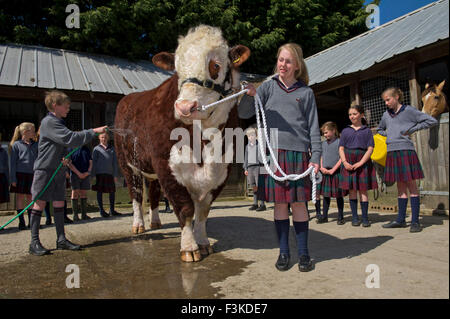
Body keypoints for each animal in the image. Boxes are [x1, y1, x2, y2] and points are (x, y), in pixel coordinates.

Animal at [113, 26, 250, 262]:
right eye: (176, 70)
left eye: (215, 65)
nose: (185, 107)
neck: (204, 140)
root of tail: (127, 99)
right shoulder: (167, 165)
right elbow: (185, 208)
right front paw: (189, 248)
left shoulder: (222, 169)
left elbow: (203, 211)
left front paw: (203, 242)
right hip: (128, 164)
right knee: (136, 194)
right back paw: (138, 225)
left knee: (154, 193)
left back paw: (155, 222)